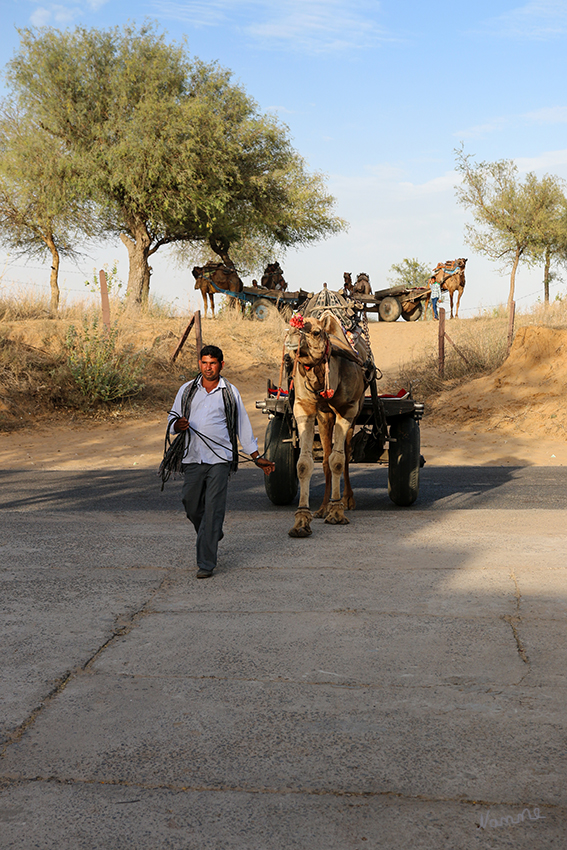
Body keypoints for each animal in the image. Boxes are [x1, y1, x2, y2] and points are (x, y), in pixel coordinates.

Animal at [286, 312, 370, 536]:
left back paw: (347, 500)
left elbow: (339, 460)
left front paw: (337, 512)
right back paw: (323, 507)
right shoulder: (303, 408)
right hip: (325, 417)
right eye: (288, 327)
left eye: (315, 332)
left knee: (346, 453)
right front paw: (301, 520)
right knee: (325, 457)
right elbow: (304, 464)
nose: (291, 337)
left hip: (354, 413)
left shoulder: (347, 409)